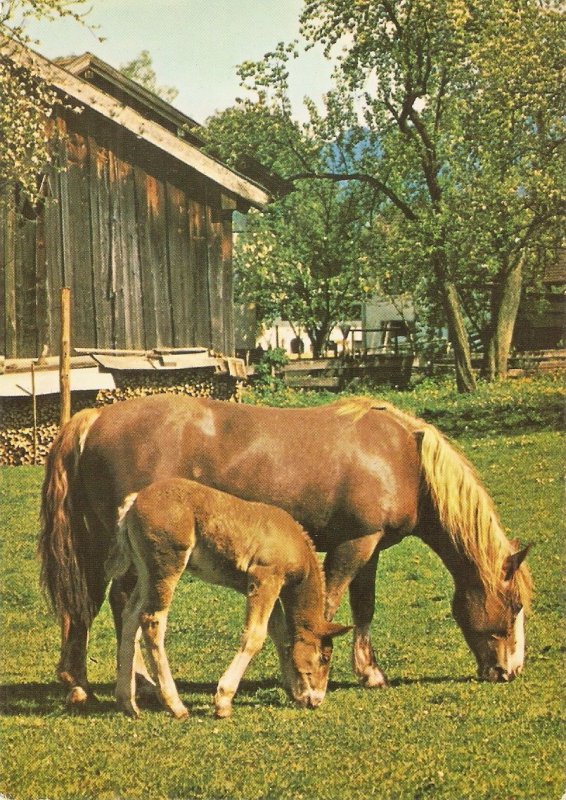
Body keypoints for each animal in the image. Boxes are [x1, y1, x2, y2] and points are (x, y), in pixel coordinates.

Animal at [103, 476, 348, 720]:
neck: (292, 542)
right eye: (325, 657)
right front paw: (223, 701)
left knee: (131, 615)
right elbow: (255, 636)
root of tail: (135, 500)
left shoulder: (260, 587)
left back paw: (128, 703)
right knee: (152, 620)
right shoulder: (265, 578)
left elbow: (278, 633)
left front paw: (293, 690)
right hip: (167, 565)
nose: (316, 700)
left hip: (145, 572)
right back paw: (175, 705)